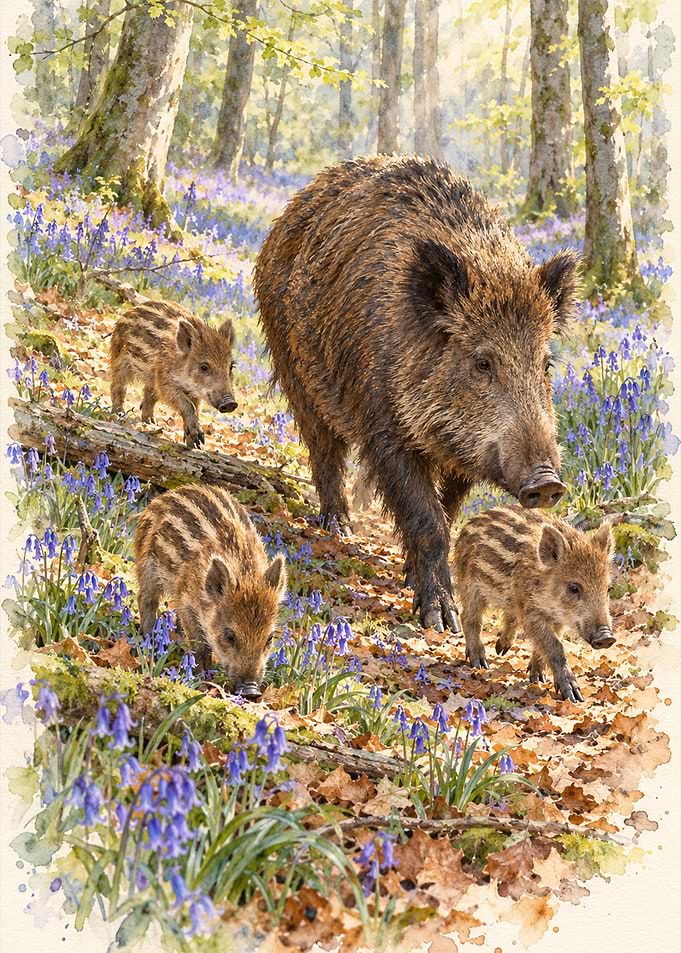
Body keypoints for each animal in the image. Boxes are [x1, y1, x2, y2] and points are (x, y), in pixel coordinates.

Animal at [110, 300, 238, 449]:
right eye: (204, 367)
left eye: (230, 367)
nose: (230, 403)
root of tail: (131, 310)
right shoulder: (165, 382)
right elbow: (187, 405)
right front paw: (197, 440)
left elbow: (196, 408)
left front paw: (195, 444)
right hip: (119, 358)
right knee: (117, 387)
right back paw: (119, 414)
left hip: (150, 378)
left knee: (149, 396)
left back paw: (150, 422)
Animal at [134, 484, 287, 698]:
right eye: (229, 636)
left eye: (270, 638)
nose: (251, 691)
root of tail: (167, 494)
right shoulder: (185, 601)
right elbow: (200, 645)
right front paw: (203, 678)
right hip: (146, 565)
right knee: (145, 599)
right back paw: (150, 642)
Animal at [254, 155, 580, 633]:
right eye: (483, 363)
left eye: (545, 365)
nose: (548, 482)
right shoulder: (383, 427)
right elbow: (428, 520)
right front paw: (442, 622)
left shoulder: (466, 454)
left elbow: (448, 510)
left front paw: (415, 583)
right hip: (295, 373)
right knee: (324, 453)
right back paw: (339, 528)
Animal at [454, 506, 615, 702]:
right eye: (574, 588)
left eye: (608, 589)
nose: (606, 637)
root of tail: (472, 520)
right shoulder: (530, 612)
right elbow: (555, 646)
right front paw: (574, 695)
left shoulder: (556, 619)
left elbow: (548, 643)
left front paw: (538, 679)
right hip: (469, 584)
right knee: (469, 618)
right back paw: (480, 663)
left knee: (509, 618)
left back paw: (501, 649)